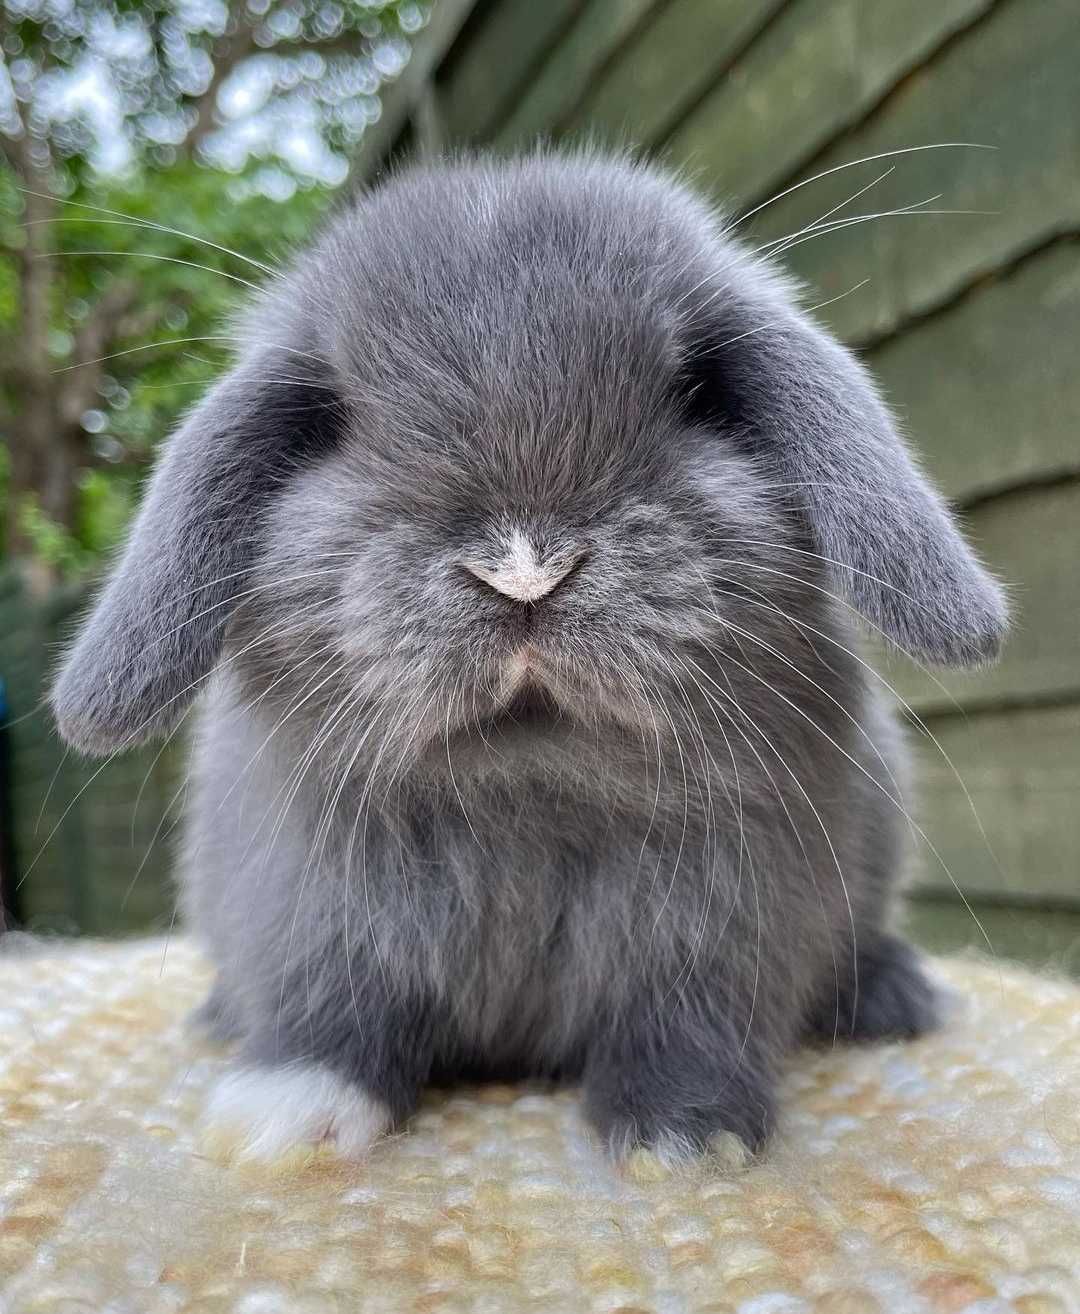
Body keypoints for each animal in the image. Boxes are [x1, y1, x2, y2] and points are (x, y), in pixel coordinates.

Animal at [50, 153, 1009, 1172]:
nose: (523, 570)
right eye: (333, 421)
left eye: (698, 392)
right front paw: (286, 1119)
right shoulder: (311, 911)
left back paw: (897, 996)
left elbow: (688, 1025)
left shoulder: (729, 929)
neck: (529, 788)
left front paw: (686, 1138)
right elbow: (331, 1014)